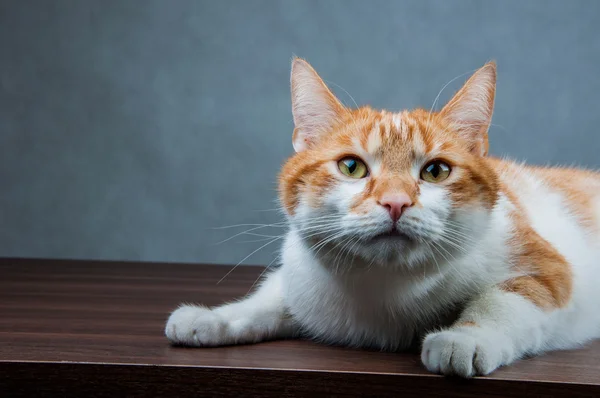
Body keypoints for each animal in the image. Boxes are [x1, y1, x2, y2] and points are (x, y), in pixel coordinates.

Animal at [164, 58, 600, 376]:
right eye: (352, 166)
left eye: (436, 171)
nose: (395, 202)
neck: (385, 286)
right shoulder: (300, 277)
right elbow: (266, 300)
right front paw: (213, 318)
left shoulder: (548, 268)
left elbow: (505, 300)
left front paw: (465, 339)